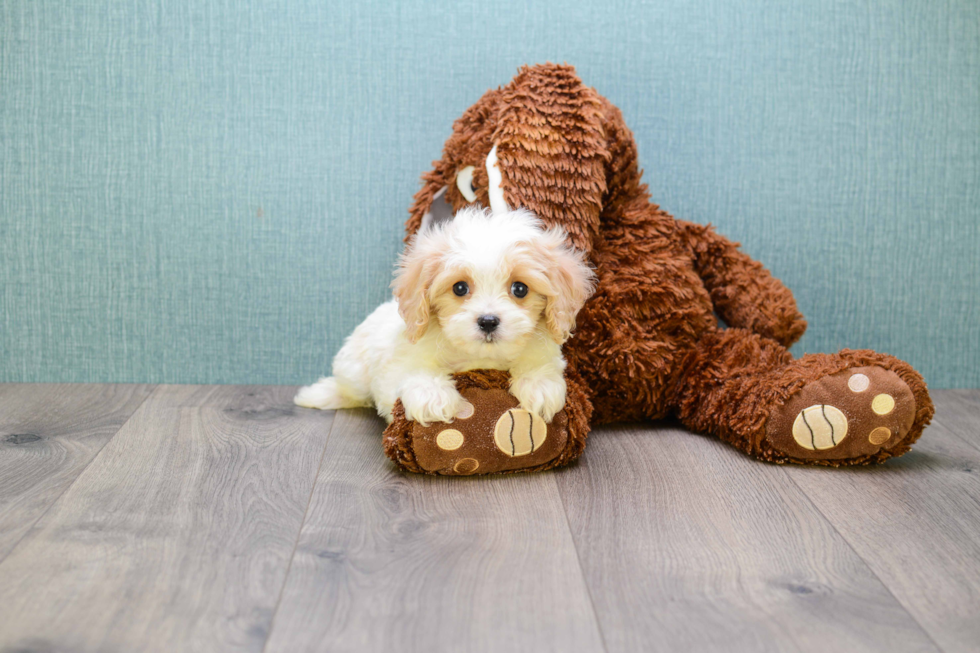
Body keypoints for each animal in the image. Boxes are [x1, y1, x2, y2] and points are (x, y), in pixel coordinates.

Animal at [294, 206, 592, 426]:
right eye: (460, 288)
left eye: (520, 289)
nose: (488, 321)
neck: (482, 358)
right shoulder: (401, 361)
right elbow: (414, 372)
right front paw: (432, 396)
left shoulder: (545, 350)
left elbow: (540, 365)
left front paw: (539, 387)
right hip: (354, 369)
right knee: (348, 389)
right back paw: (317, 394)